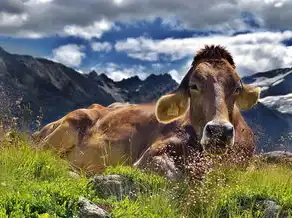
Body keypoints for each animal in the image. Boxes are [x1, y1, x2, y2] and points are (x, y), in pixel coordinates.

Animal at [33, 45, 262, 180]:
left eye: (237, 87)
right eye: (194, 86)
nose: (219, 131)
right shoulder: (150, 155)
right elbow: (169, 173)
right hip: (69, 124)